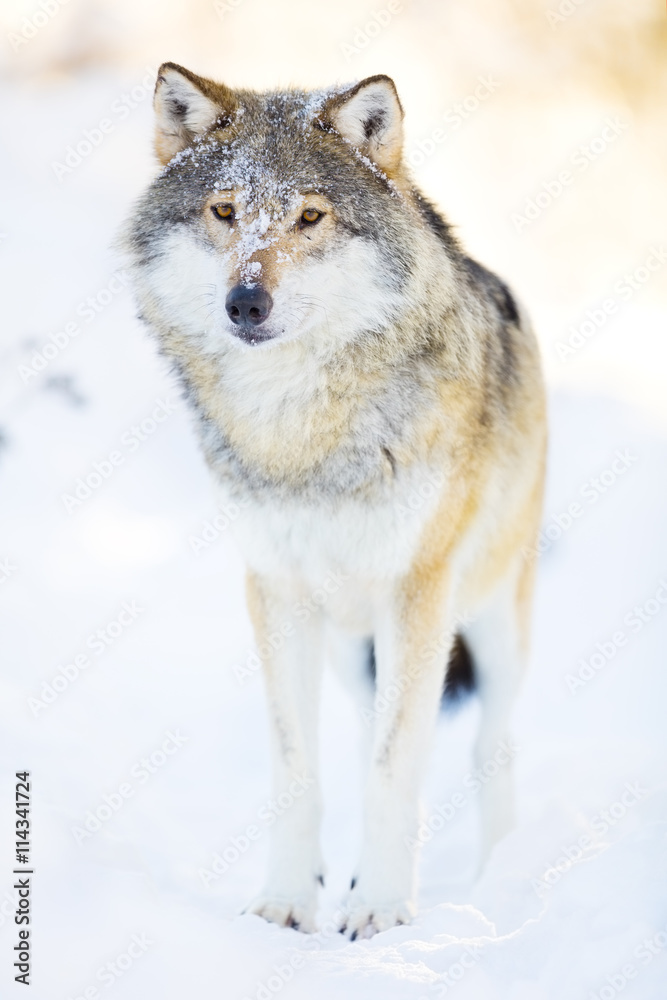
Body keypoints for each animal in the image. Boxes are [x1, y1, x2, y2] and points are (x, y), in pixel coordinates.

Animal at [121, 62, 548, 936]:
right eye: (225, 212)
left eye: (310, 216)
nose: (245, 303)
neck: (303, 437)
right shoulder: (277, 591)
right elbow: (299, 767)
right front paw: (288, 901)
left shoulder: (419, 591)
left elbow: (395, 766)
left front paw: (381, 910)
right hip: (358, 646)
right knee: (362, 734)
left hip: (491, 619)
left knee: (490, 746)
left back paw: (494, 878)